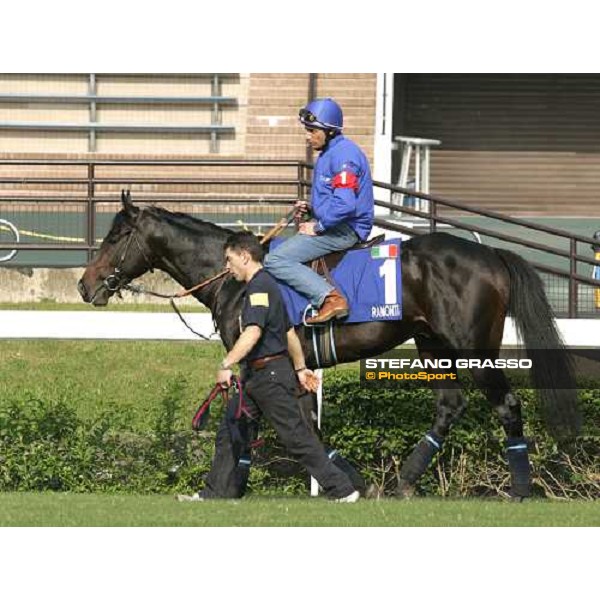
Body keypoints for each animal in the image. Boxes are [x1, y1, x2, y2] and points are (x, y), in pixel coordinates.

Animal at [77, 195, 580, 500]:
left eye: (115, 236)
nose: (85, 285)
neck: (237, 279)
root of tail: (492, 253)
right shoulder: (281, 367)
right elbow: (289, 424)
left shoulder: (264, 361)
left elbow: (286, 426)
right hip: (432, 344)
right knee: (449, 407)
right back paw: (403, 481)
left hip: (472, 348)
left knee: (507, 404)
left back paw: (519, 489)